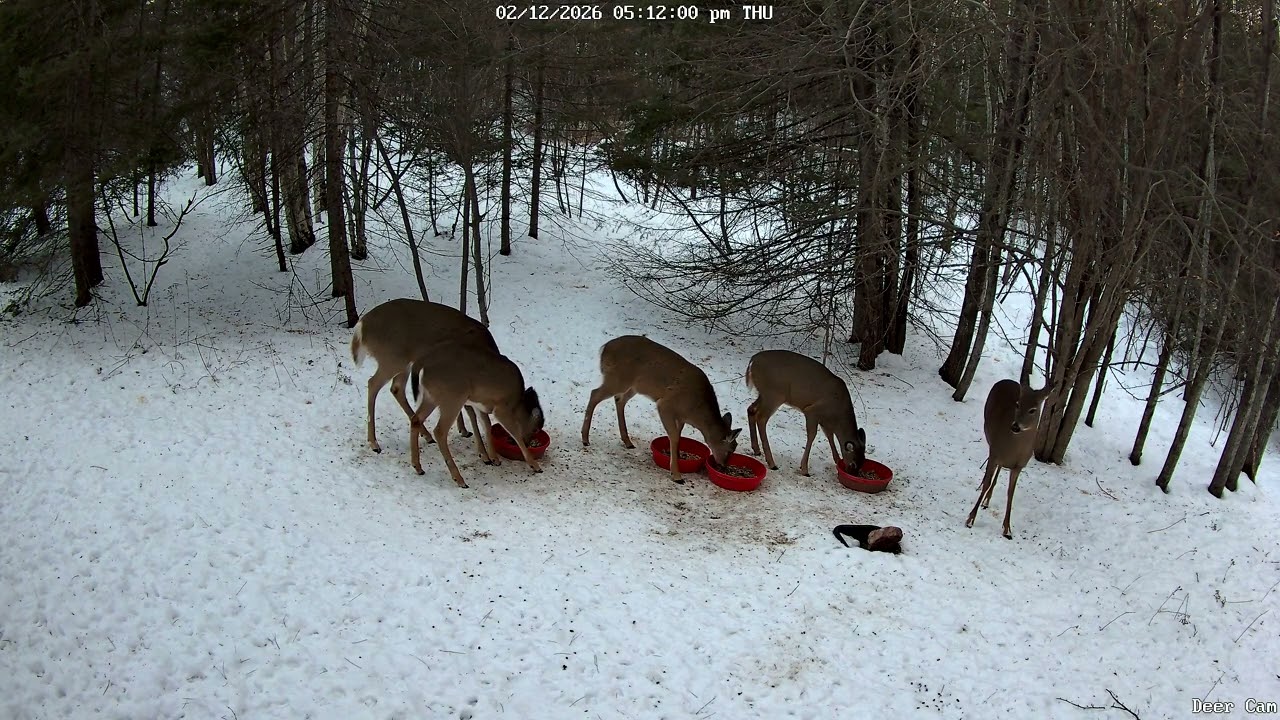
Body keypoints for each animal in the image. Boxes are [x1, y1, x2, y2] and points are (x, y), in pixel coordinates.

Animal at [350, 298, 497, 454]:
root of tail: (362, 325)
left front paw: (464, 431)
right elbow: (472, 412)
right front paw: (482, 450)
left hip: (405, 362)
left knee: (396, 388)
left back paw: (427, 435)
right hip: (391, 358)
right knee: (373, 383)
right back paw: (374, 443)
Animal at [406, 343, 544, 488]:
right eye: (536, 429)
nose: (529, 443)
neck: (517, 404)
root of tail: (422, 364)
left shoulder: (480, 405)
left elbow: (487, 424)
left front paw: (494, 458)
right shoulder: (501, 408)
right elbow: (516, 433)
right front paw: (535, 465)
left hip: (431, 397)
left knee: (416, 419)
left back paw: (418, 467)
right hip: (453, 398)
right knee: (439, 431)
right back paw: (459, 479)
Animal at [580, 335, 741, 485]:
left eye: (735, 447)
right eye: (730, 450)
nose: (723, 466)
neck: (695, 412)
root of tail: (604, 347)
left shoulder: (680, 416)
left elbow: (678, 435)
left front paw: (677, 456)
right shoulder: (666, 405)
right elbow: (674, 436)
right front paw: (677, 475)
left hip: (633, 386)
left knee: (619, 400)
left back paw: (627, 441)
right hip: (618, 378)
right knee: (595, 394)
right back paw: (585, 439)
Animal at [965, 378, 1053, 539]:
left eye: (1033, 409)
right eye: (1018, 404)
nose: (1015, 426)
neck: (1014, 449)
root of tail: (1008, 380)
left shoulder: (1019, 466)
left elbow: (1010, 494)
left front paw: (1007, 529)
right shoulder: (995, 452)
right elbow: (988, 482)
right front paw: (970, 519)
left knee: (1000, 469)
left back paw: (987, 500)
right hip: (990, 439)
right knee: (991, 470)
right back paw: (982, 490)